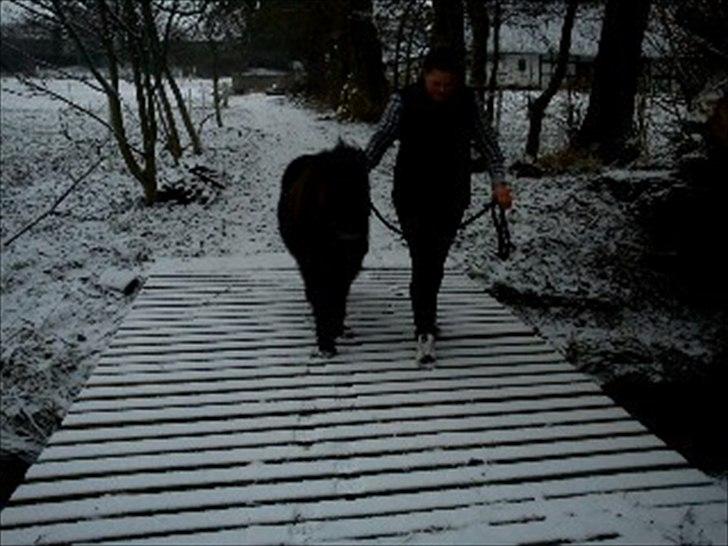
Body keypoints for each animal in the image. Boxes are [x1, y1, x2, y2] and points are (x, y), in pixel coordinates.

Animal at [278, 142, 370, 356]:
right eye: (331, 190)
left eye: (365, 186)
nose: (350, 236)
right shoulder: (314, 265)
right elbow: (322, 298)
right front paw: (326, 343)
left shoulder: (348, 267)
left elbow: (339, 297)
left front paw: (337, 328)